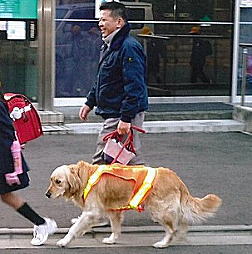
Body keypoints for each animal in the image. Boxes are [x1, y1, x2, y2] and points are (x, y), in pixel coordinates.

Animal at [45, 161, 220, 248]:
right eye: (51, 180)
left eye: (58, 181)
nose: (47, 194)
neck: (83, 177)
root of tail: (176, 178)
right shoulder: (113, 210)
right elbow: (115, 228)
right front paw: (112, 240)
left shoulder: (91, 212)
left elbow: (74, 228)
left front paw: (64, 241)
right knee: (182, 223)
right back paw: (181, 237)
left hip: (159, 211)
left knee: (172, 229)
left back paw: (163, 243)